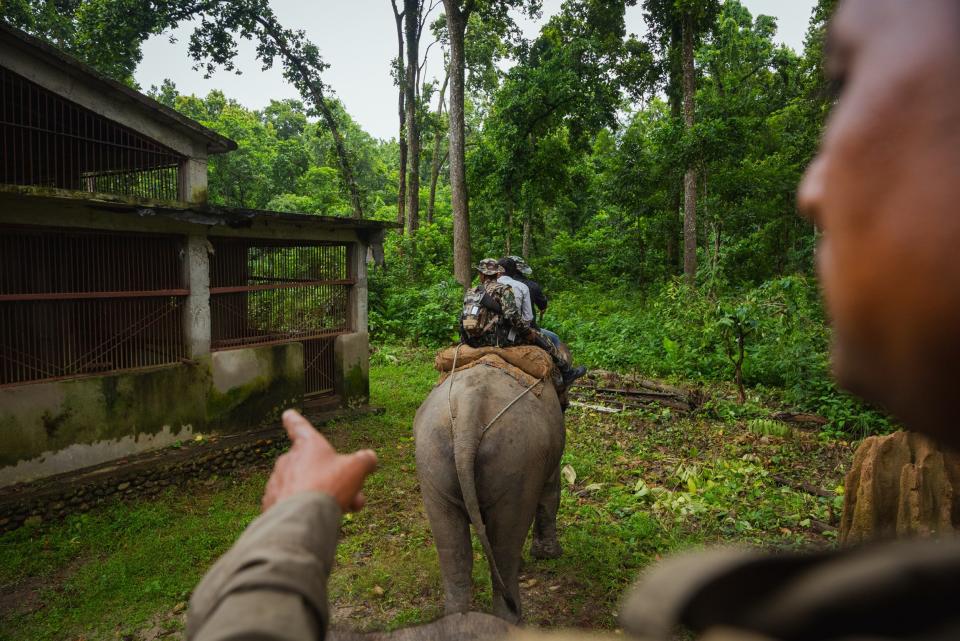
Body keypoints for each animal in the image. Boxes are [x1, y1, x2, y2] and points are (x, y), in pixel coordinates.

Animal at [414, 360, 568, 620]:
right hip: (518, 462)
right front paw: (549, 555)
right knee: (505, 548)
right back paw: (512, 617)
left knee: (454, 553)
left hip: (431, 458)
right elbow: (551, 493)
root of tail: (469, 410)